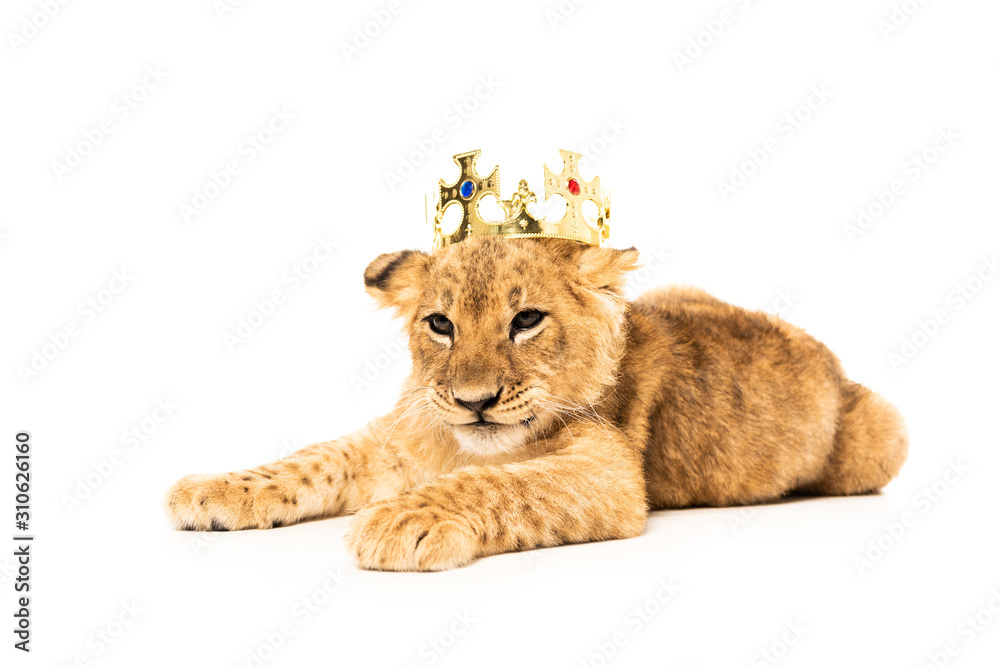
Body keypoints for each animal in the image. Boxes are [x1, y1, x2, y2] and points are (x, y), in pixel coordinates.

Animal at [165, 237, 908, 571]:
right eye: (440, 324)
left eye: (526, 320)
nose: (475, 400)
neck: (459, 441)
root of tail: (827, 356)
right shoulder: (397, 437)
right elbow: (311, 458)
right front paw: (211, 489)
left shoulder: (611, 475)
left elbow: (501, 482)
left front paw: (401, 519)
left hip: (882, 435)